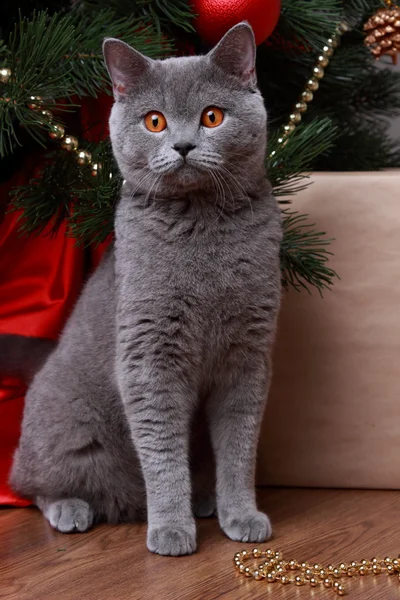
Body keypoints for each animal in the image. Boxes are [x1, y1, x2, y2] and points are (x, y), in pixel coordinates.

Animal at [8, 23, 282, 556]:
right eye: (155, 121)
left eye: (212, 116)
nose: (182, 146)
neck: (202, 225)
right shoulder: (149, 352)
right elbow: (160, 448)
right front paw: (171, 529)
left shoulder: (249, 353)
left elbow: (239, 447)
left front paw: (242, 515)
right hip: (63, 432)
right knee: (30, 484)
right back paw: (71, 509)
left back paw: (204, 500)